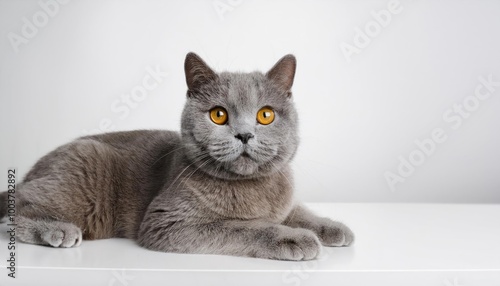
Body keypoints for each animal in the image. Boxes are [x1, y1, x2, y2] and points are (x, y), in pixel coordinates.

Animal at [0, 52, 354, 260]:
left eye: (265, 115)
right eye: (219, 115)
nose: (244, 134)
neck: (253, 188)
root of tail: (34, 169)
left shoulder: (285, 201)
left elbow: (299, 210)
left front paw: (334, 228)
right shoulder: (167, 221)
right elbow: (243, 227)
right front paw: (294, 239)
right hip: (83, 172)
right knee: (13, 213)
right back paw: (58, 231)